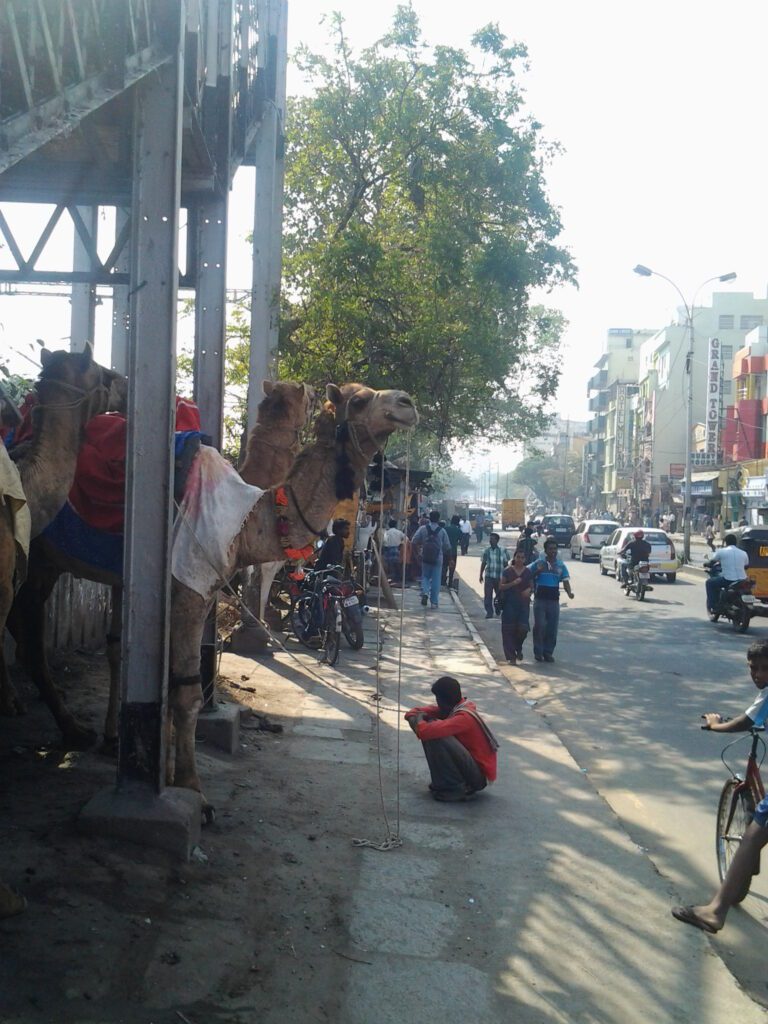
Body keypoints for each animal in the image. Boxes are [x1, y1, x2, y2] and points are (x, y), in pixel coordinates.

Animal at [7, 380, 421, 802]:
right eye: (360, 400)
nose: (408, 404)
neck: (248, 515)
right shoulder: (189, 590)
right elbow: (184, 693)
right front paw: (192, 788)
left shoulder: (190, 592)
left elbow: (161, 679)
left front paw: (163, 769)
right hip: (36, 552)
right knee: (29, 639)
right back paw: (72, 730)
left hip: (46, 561)